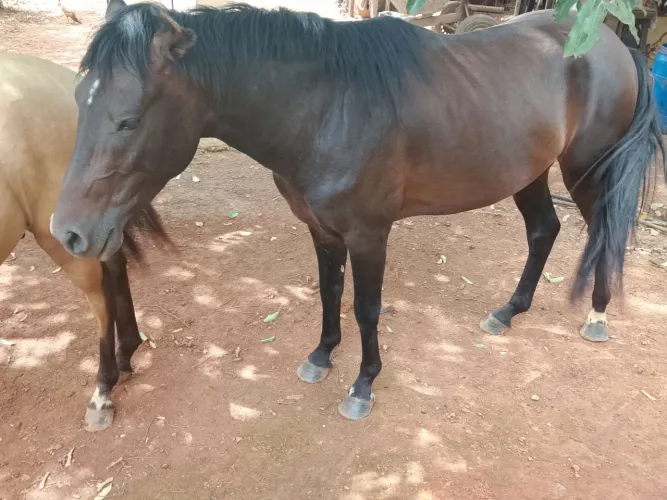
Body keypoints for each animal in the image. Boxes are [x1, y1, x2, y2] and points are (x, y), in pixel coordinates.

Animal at [50, 1, 665, 420]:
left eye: (128, 119)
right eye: (78, 100)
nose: (68, 233)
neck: (328, 108)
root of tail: (615, 45)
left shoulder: (370, 234)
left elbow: (366, 308)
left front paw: (363, 384)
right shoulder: (321, 229)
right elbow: (329, 293)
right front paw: (322, 356)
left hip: (587, 172)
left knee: (603, 232)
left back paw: (598, 314)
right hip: (530, 172)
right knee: (544, 230)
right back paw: (509, 310)